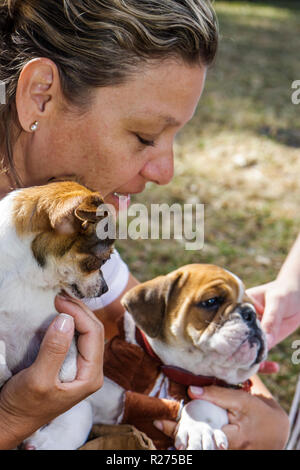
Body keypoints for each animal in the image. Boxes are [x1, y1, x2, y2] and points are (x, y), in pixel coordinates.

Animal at [23, 262, 268, 450]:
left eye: (256, 311)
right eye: (212, 301)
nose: (250, 315)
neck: (170, 372)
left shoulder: (224, 390)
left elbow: (204, 403)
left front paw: (200, 429)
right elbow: (78, 411)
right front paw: (54, 442)